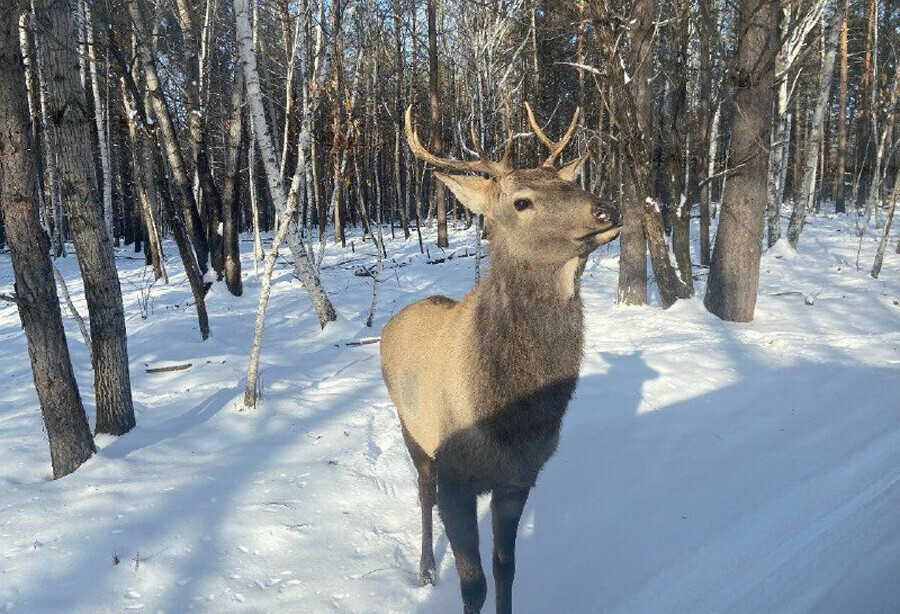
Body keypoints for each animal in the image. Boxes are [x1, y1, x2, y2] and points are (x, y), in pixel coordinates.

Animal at [380, 106, 620, 614]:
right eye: (521, 201)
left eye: (567, 182)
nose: (607, 209)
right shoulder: (455, 472)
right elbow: (473, 583)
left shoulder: (519, 478)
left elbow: (505, 569)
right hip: (411, 429)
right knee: (423, 494)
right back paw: (426, 569)